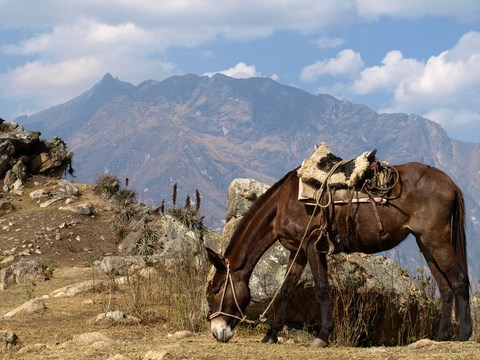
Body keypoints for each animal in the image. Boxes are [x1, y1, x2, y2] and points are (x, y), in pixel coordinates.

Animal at [204, 162, 470, 348]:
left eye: (215, 290)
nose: (217, 331)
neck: (284, 204)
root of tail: (450, 183)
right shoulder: (297, 250)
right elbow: (286, 289)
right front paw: (271, 335)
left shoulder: (312, 245)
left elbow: (322, 288)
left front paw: (323, 336)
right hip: (425, 243)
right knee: (445, 288)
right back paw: (441, 336)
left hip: (436, 240)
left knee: (459, 281)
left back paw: (465, 334)